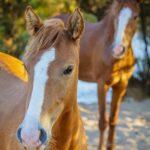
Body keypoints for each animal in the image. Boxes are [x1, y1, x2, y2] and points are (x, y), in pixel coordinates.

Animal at [57, 0, 141, 149]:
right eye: (115, 16)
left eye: (135, 17)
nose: (118, 50)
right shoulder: (102, 85)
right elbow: (103, 122)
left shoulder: (121, 85)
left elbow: (113, 119)